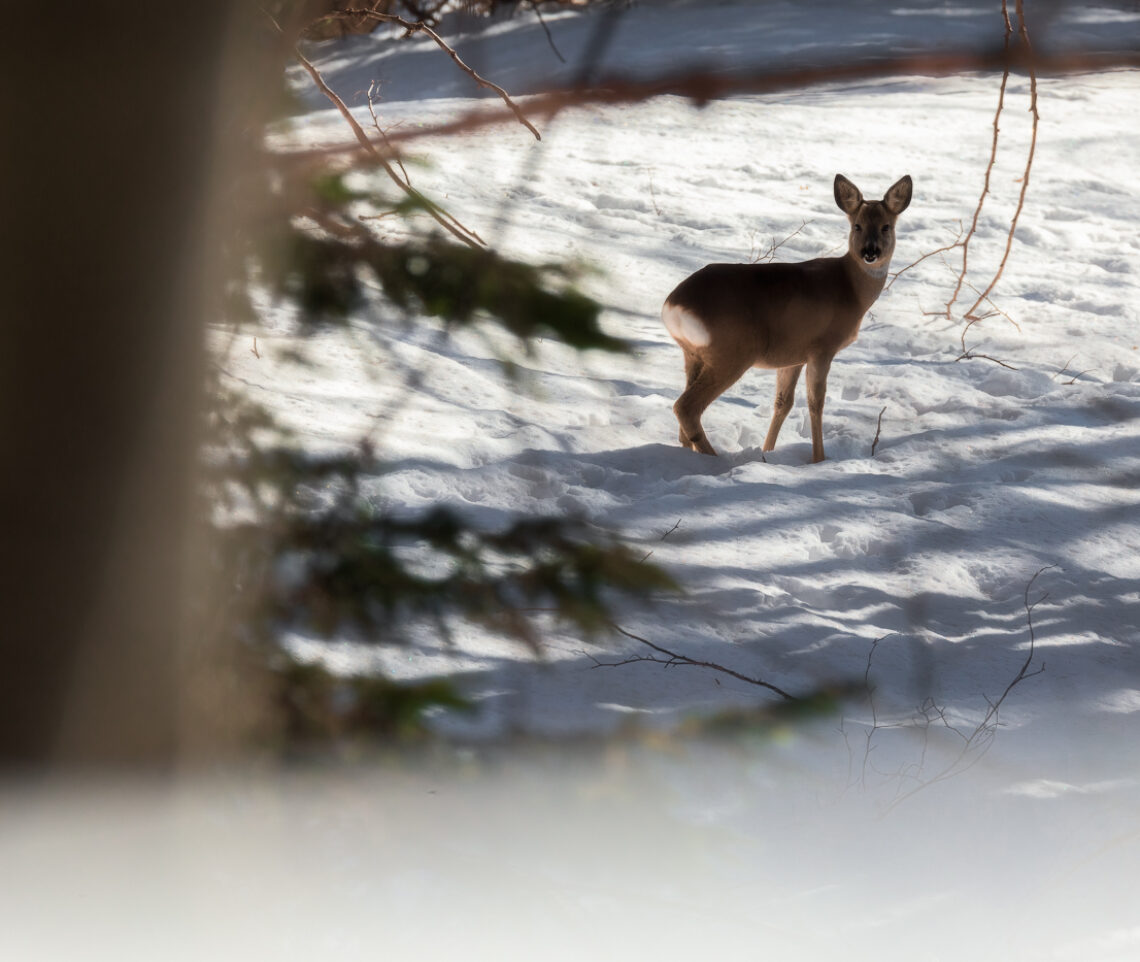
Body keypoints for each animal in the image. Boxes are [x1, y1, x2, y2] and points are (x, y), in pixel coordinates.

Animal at [665, 174, 912, 465]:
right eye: (857, 225)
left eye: (886, 227)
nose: (870, 252)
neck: (850, 288)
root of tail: (673, 305)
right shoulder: (822, 347)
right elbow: (816, 403)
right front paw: (818, 460)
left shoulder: (792, 355)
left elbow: (783, 403)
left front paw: (768, 452)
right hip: (732, 351)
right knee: (686, 407)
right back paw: (716, 460)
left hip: (693, 354)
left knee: (684, 409)